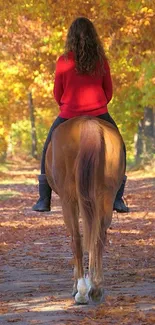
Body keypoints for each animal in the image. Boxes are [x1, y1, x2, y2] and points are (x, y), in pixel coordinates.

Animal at [44, 116, 124, 304]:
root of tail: (88, 122)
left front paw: (79, 286)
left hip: (68, 200)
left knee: (76, 239)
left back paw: (80, 290)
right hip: (106, 194)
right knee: (99, 236)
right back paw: (96, 288)